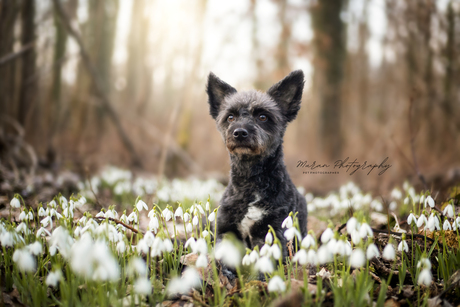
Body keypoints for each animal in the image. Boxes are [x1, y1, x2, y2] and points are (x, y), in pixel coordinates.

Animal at [207, 70, 308, 258]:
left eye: (262, 117)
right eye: (230, 117)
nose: (240, 132)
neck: (250, 182)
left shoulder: (272, 232)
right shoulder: (225, 230)